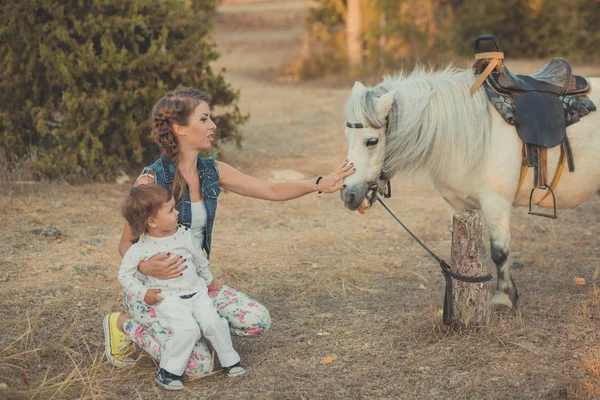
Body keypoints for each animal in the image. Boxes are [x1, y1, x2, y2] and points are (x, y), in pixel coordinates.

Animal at [340, 66, 596, 310]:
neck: (468, 134)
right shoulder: (455, 204)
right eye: (348, 136)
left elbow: (499, 252)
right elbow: (461, 252)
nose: (348, 194)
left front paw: (504, 297)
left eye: (371, 141)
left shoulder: (496, 203)